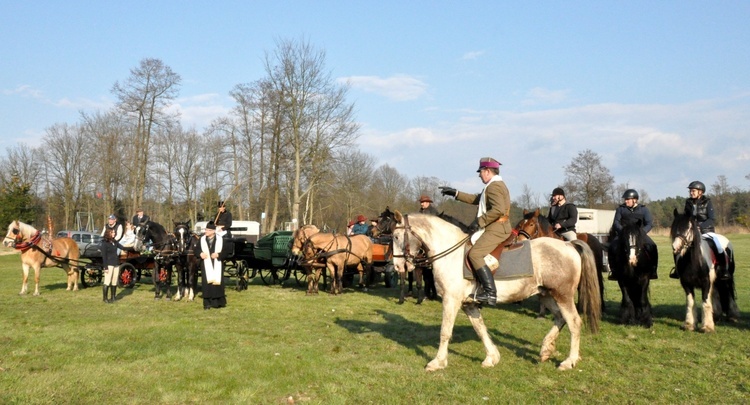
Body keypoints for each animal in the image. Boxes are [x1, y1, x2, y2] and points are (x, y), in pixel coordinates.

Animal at [390, 210, 604, 370]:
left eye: (397, 236)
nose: (398, 267)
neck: (452, 253)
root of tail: (568, 244)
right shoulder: (468, 304)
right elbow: (480, 329)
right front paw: (492, 357)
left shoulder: (451, 301)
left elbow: (445, 332)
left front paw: (437, 362)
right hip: (547, 294)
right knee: (560, 318)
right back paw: (545, 350)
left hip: (563, 295)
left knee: (574, 322)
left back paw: (569, 361)